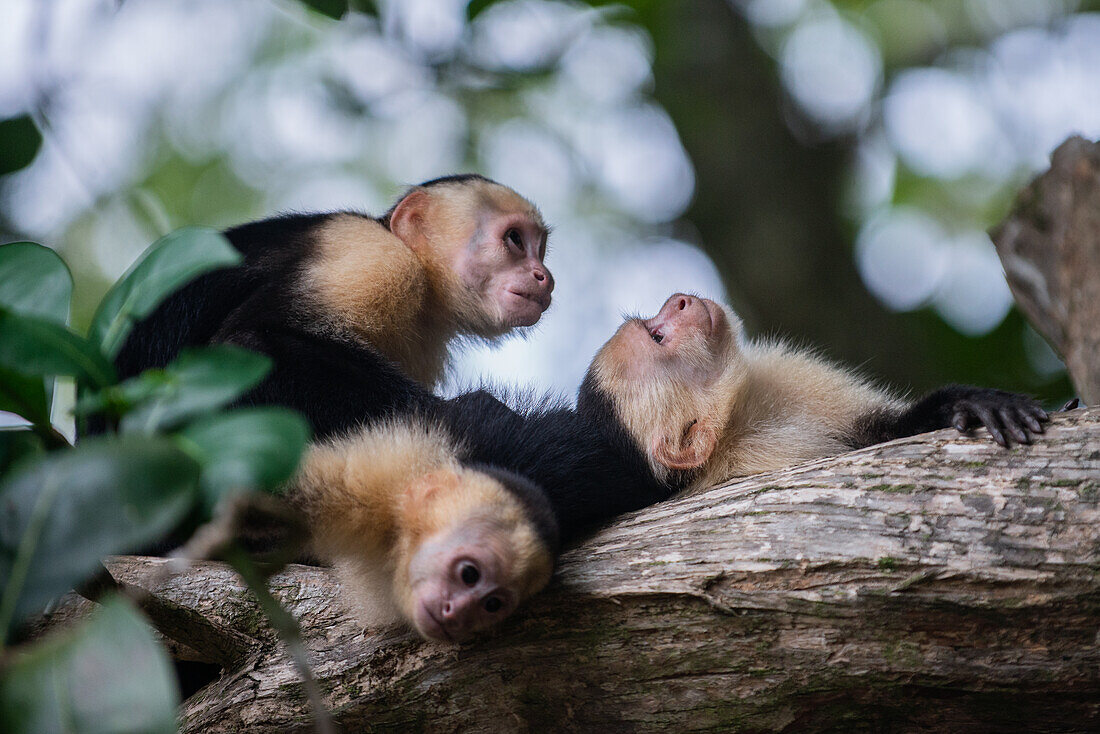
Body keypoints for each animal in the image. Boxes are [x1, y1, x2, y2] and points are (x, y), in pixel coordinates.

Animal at [576, 292, 1047, 493]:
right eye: (658, 337)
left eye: (651, 324)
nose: (678, 300)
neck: (740, 416)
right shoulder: (747, 459)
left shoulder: (782, 371)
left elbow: (882, 430)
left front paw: (963, 404)